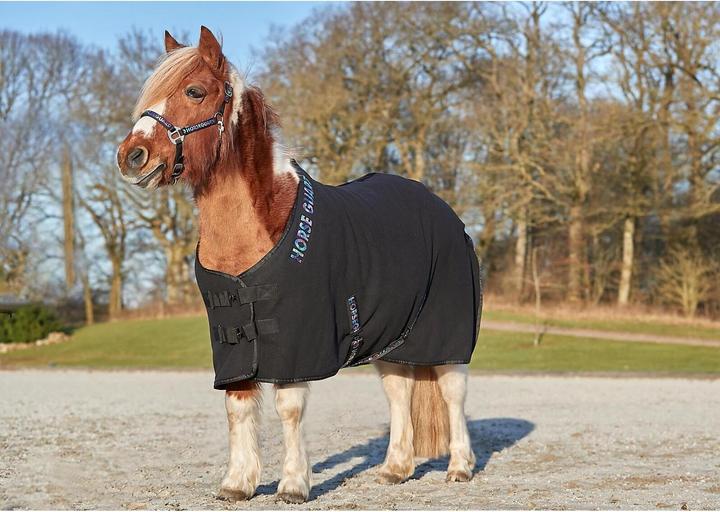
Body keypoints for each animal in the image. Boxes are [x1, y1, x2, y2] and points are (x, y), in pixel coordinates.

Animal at [116, 26, 480, 504]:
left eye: (194, 91)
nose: (131, 155)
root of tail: (442, 210)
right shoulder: (233, 341)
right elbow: (238, 408)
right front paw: (237, 483)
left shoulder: (296, 343)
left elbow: (288, 409)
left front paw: (292, 484)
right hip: (391, 339)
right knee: (399, 391)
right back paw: (395, 469)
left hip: (444, 331)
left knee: (453, 391)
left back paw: (459, 467)